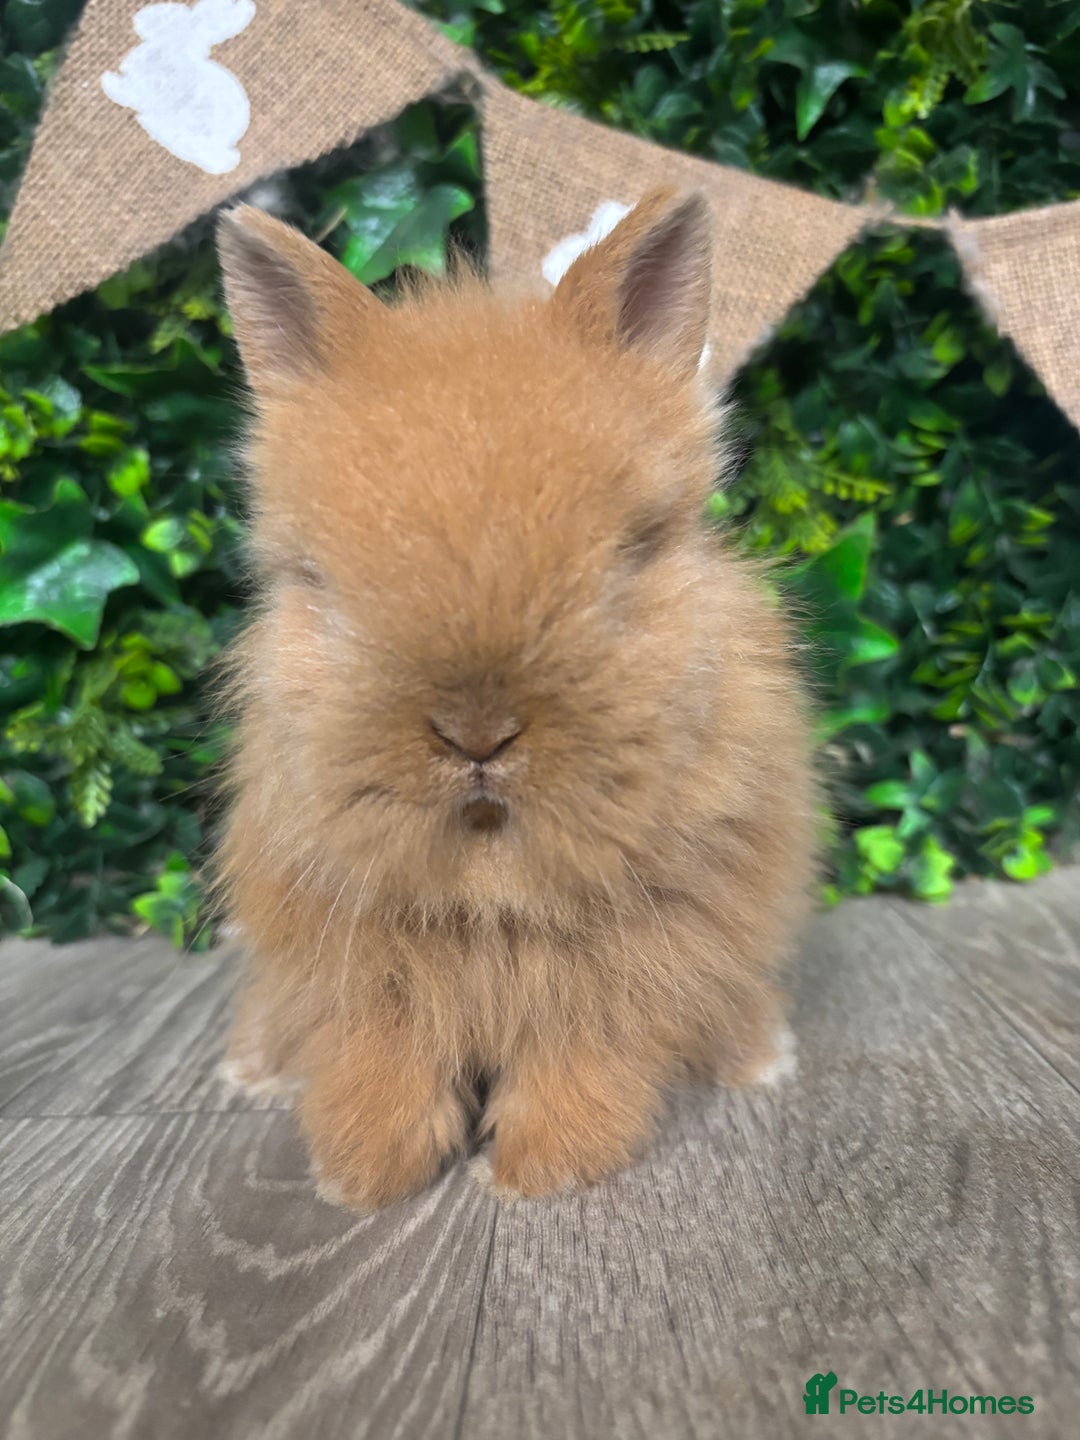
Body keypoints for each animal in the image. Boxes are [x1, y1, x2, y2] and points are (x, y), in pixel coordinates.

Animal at [215, 188, 819, 1208]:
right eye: (321, 582)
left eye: (631, 556)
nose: (478, 735)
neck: (492, 882)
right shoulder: (361, 969)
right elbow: (379, 1060)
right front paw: (359, 1176)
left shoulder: (630, 970)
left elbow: (584, 1055)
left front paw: (535, 1173)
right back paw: (250, 1071)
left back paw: (762, 1059)